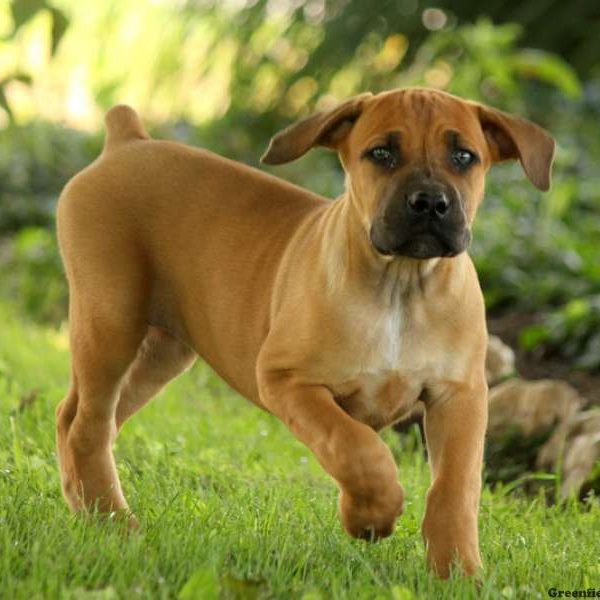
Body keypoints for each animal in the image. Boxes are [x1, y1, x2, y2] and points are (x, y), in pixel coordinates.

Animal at [56, 88, 552, 576]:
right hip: (111, 324)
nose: (429, 202)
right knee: (89, 426)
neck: (401, 285)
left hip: (160, 351)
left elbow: (455, 487)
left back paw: (85, 511)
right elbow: (356, 445)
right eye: (381, 153)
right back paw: (113, 521)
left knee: (78, 417)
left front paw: (458, 569)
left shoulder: (460, 395)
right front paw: (372, 513)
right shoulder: (289, 381)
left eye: (464, 156)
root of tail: (126, 141)